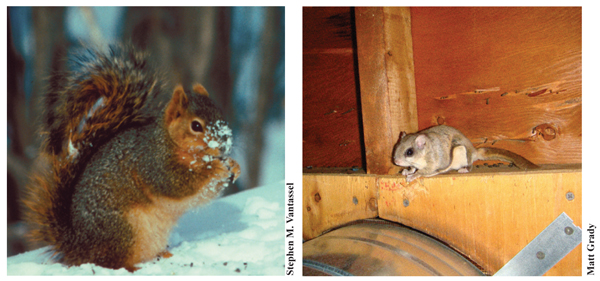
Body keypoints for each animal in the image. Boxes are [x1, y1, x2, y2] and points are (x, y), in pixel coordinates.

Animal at [24, 44, 239, 272]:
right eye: (196, 125)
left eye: (220, 113)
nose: (225, 144)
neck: (169, 142)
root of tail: (77, 247)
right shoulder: (152, 163)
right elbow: (176, 183)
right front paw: (213, 169)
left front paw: (234, 166)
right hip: (122, 231)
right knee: (108, 262)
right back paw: (132, 268)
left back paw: (164, 255)